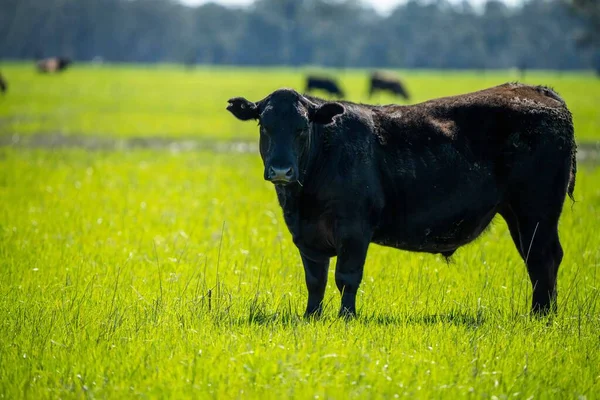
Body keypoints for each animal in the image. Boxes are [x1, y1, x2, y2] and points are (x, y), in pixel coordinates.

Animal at [226, 82, 576, 318]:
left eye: (302, 127)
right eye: (265, 125)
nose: (281, 169)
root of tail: (537, 90)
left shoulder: (354, 229)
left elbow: (346, 277)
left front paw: (346, 318)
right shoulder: (307, 236)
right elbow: (315, 280)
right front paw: (311, 317)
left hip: (537, 210)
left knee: (544, 259)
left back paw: (541, 317)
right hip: (519, 214)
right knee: (538, 260)